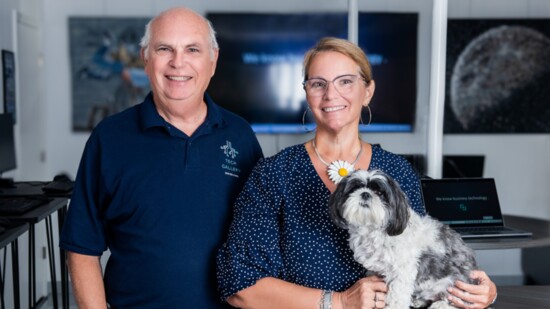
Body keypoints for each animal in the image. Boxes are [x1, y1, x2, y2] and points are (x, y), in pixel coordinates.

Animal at [330, 170, 480, 306]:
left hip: (456, 285)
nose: (365, 193)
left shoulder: (402, 272)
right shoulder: (376, 270)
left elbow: (397, 298)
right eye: (355, 188)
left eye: (380, 193)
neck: (373, 229)